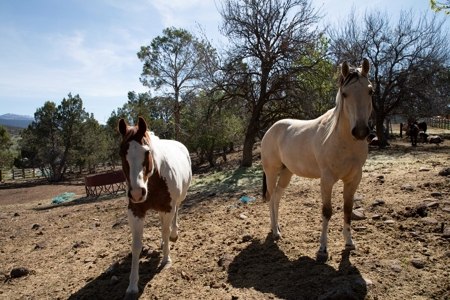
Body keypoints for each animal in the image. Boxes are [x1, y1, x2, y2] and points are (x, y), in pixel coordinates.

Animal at [260, 58, 372, 260]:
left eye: (370, 91)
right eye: (345, 94)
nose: (360, 132)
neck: (341, 139)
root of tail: (269, 131)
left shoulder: (354, 179)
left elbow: (348, 209)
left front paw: (349, 242)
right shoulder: (327, 180)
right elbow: (327, 211)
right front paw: (322, 248)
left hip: (287, 172)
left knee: (278, 197)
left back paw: (278, 227)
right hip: (271, 172)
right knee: (272, 198)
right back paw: (275, 231)